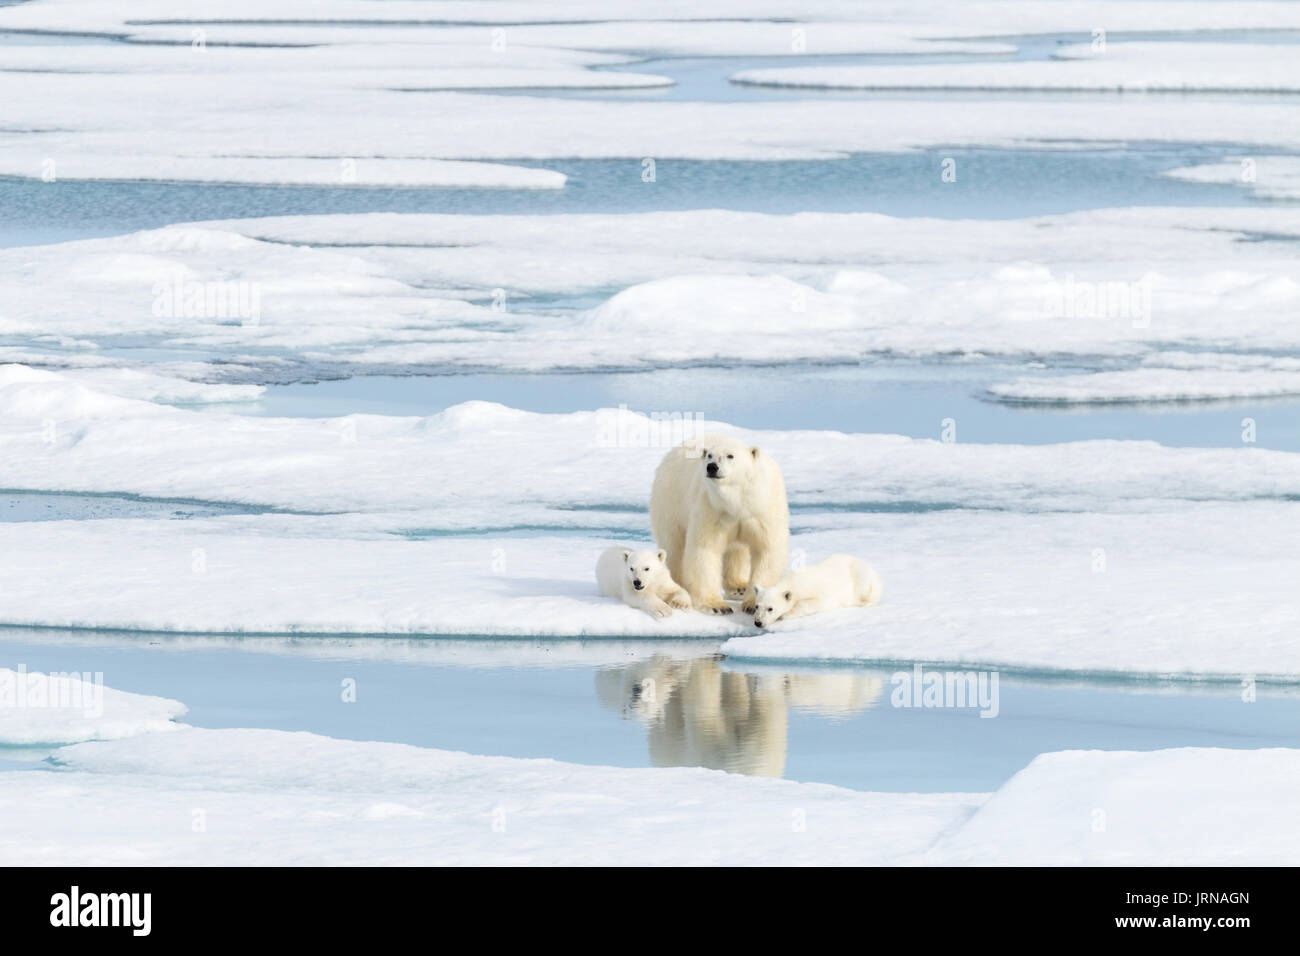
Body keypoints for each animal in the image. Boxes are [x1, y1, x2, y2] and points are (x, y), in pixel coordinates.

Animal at [650, 434, 790, 616]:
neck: (738, 501)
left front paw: (753, 604)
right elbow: (705, 550)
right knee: (674, 546)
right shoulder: (712, 508)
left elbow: (766, 550)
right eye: (709, 455)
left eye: (730, 456)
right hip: (671, 501)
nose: (712, 467)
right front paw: (717, 606)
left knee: (736, 550)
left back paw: (739, 587)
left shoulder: (762, 510)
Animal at [754, 556, 883, 632]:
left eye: (770, 608)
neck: (793, 581)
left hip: (860, 575)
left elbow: (816, 603)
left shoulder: (821, 592)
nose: (758, 622)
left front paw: (785, 615)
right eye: (757, 606)